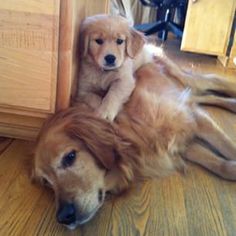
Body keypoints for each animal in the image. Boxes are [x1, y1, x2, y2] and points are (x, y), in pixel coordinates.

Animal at [33, 62, 236, 229]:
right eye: (47, 182)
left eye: (70, 157)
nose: (63, 217)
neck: (126, 126)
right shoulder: (179, 144)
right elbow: (219, 165)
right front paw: (230, 169)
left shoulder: (190, 119)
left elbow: (227, 146)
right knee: (207, 97)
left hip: (187, 81)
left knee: (212, 81)